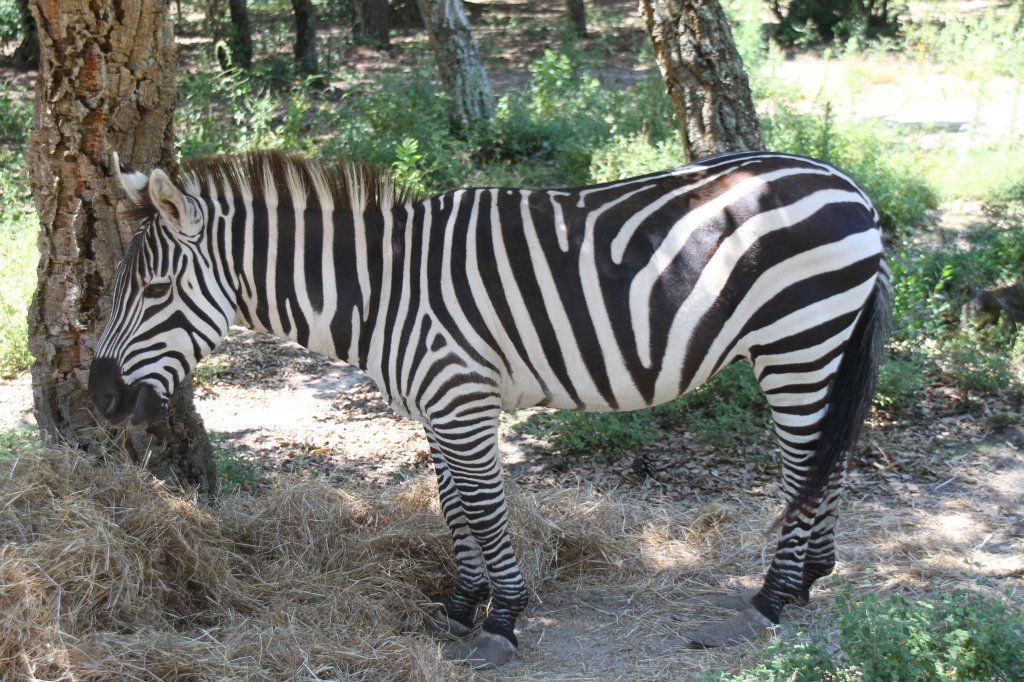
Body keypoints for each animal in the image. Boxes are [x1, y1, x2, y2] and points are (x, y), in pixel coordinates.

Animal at [88, 147, 888, 663]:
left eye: (153, 291)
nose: (98, 396)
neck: (379, 291)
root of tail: (849, 185)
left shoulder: (461, 398)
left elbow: (482, 505)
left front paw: (501, 620)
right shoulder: (439, 405)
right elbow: (453, 507)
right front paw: (457, 608)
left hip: (797, 341)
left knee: (808, 463)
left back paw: (769, 601)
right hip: (819, 346)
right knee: (829, 456)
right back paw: (810, 579)